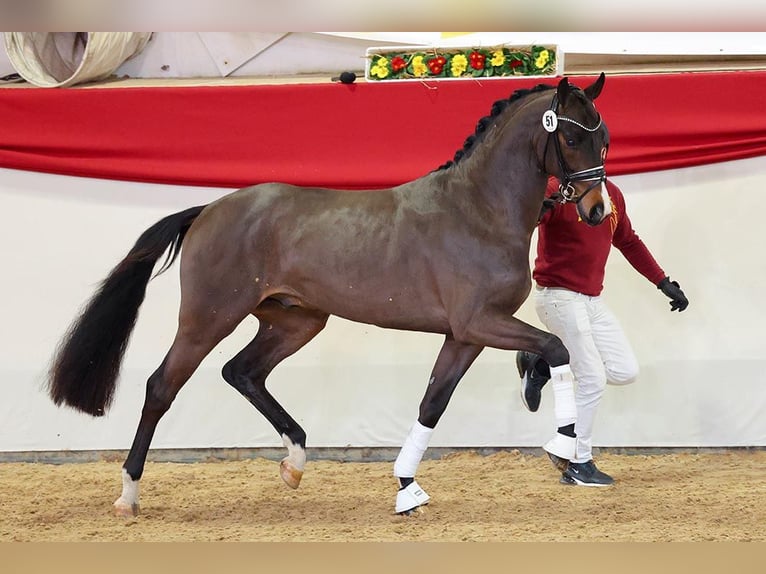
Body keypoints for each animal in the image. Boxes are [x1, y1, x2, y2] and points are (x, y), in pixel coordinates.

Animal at [46, 72, 612, 516]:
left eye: (603, 139)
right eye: (571, 138)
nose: (596, 211)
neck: (479, 211)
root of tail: (208, 210)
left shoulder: (464, 335)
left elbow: (433, 402)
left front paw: (407, 488)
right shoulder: (480, 322)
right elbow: (556, 348)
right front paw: (563, 446)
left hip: (296, 320)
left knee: (242, 371)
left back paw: (294, 463)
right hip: (209, 318)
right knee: (162, 386)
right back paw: (128, 494)